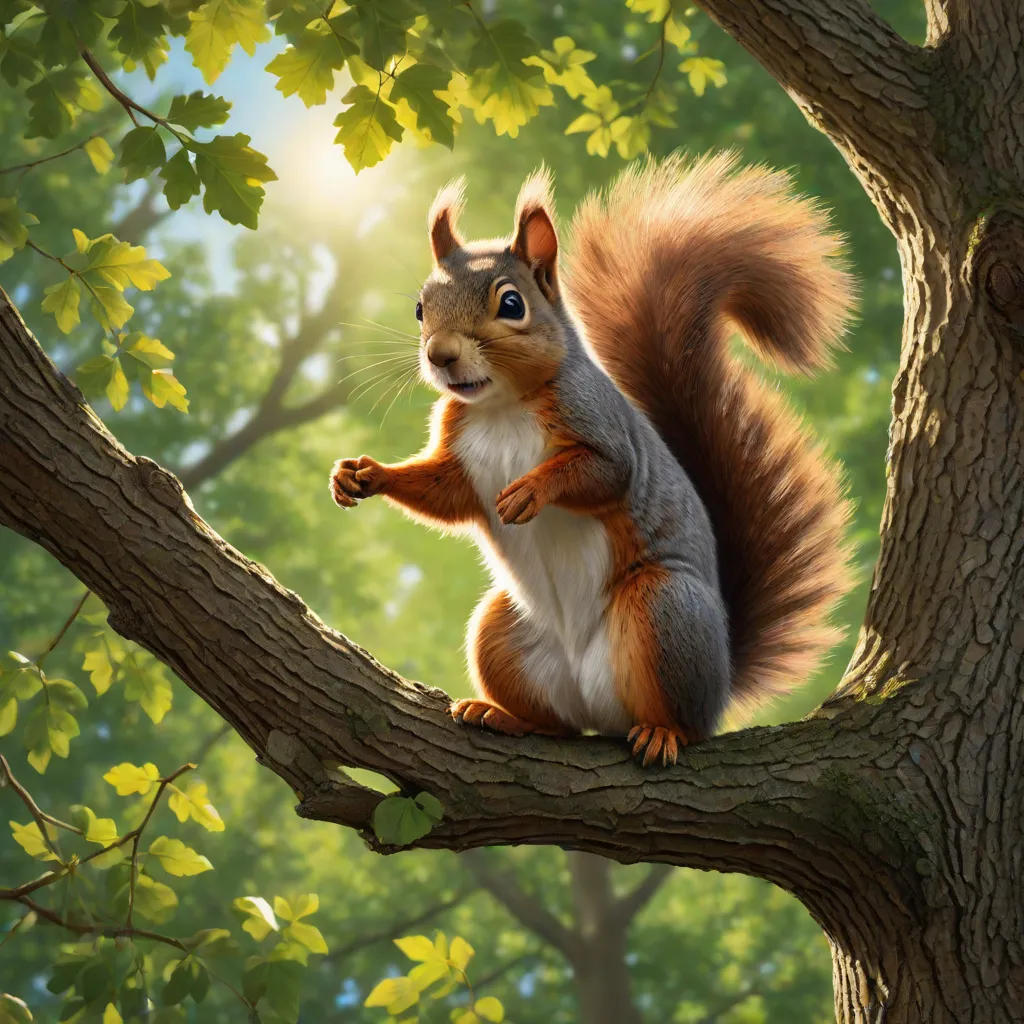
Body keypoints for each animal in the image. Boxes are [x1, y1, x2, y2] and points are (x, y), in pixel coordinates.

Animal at [331, 153, 855, 767]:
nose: (440, 355)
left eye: (512, 304)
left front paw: (530, 490)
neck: (503, 406)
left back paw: (662, 733)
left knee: (682, 720)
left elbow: (605, 473)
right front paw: (362, 475)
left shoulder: (598, 422)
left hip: (663, 610)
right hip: (502, 632)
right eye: (420, 309)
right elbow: (444, 492)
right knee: (557, 725)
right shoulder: (463, 461)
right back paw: (504, 716)